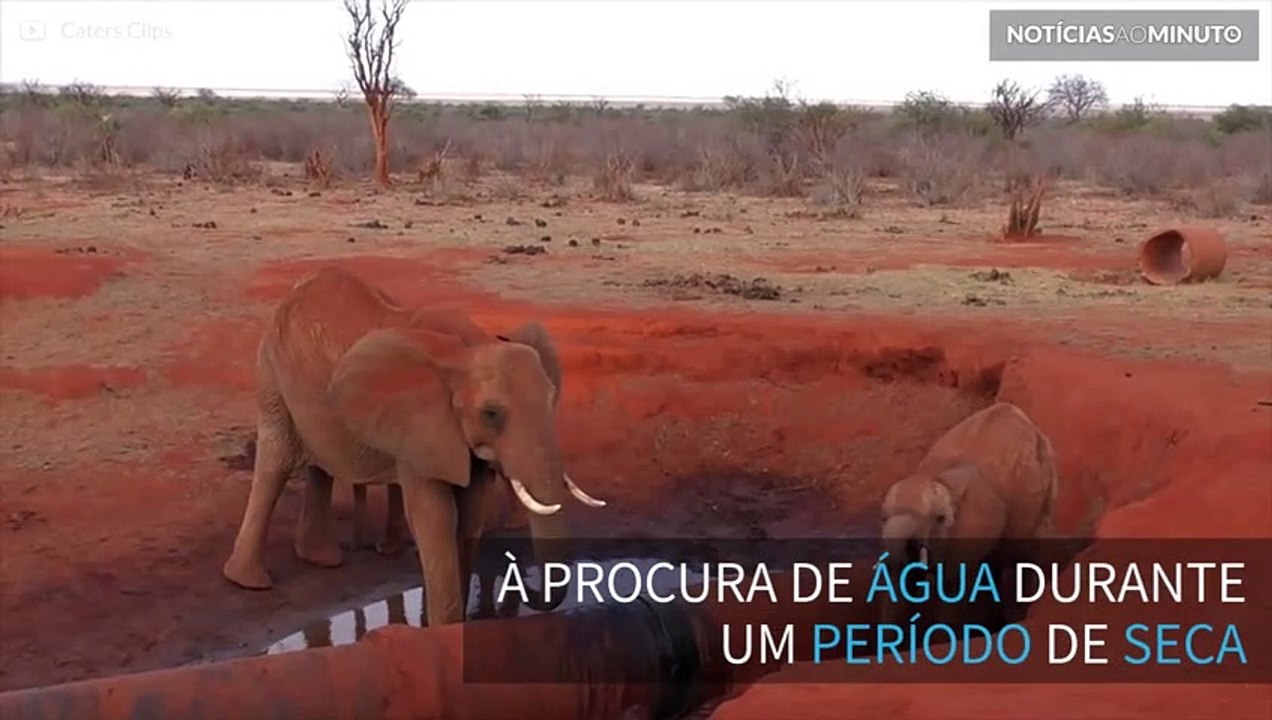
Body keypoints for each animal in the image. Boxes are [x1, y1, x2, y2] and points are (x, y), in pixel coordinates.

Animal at [222, 266, 607, 628]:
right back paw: (251, 582)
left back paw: (322, 558)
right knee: (276, 460)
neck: (469, 348)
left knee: (320, 461)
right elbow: (435, 516)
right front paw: (442, 629)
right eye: (491, 413)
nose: (522, 583)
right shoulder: (420, 426)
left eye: (552, 399)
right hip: (270, 369)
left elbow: (469, 514)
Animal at [877, 401, 1059, 627]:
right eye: (883, 518)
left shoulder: (968, 533)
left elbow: (953, 587)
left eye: (939, 519)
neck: (939, 478)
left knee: (1024, 559)